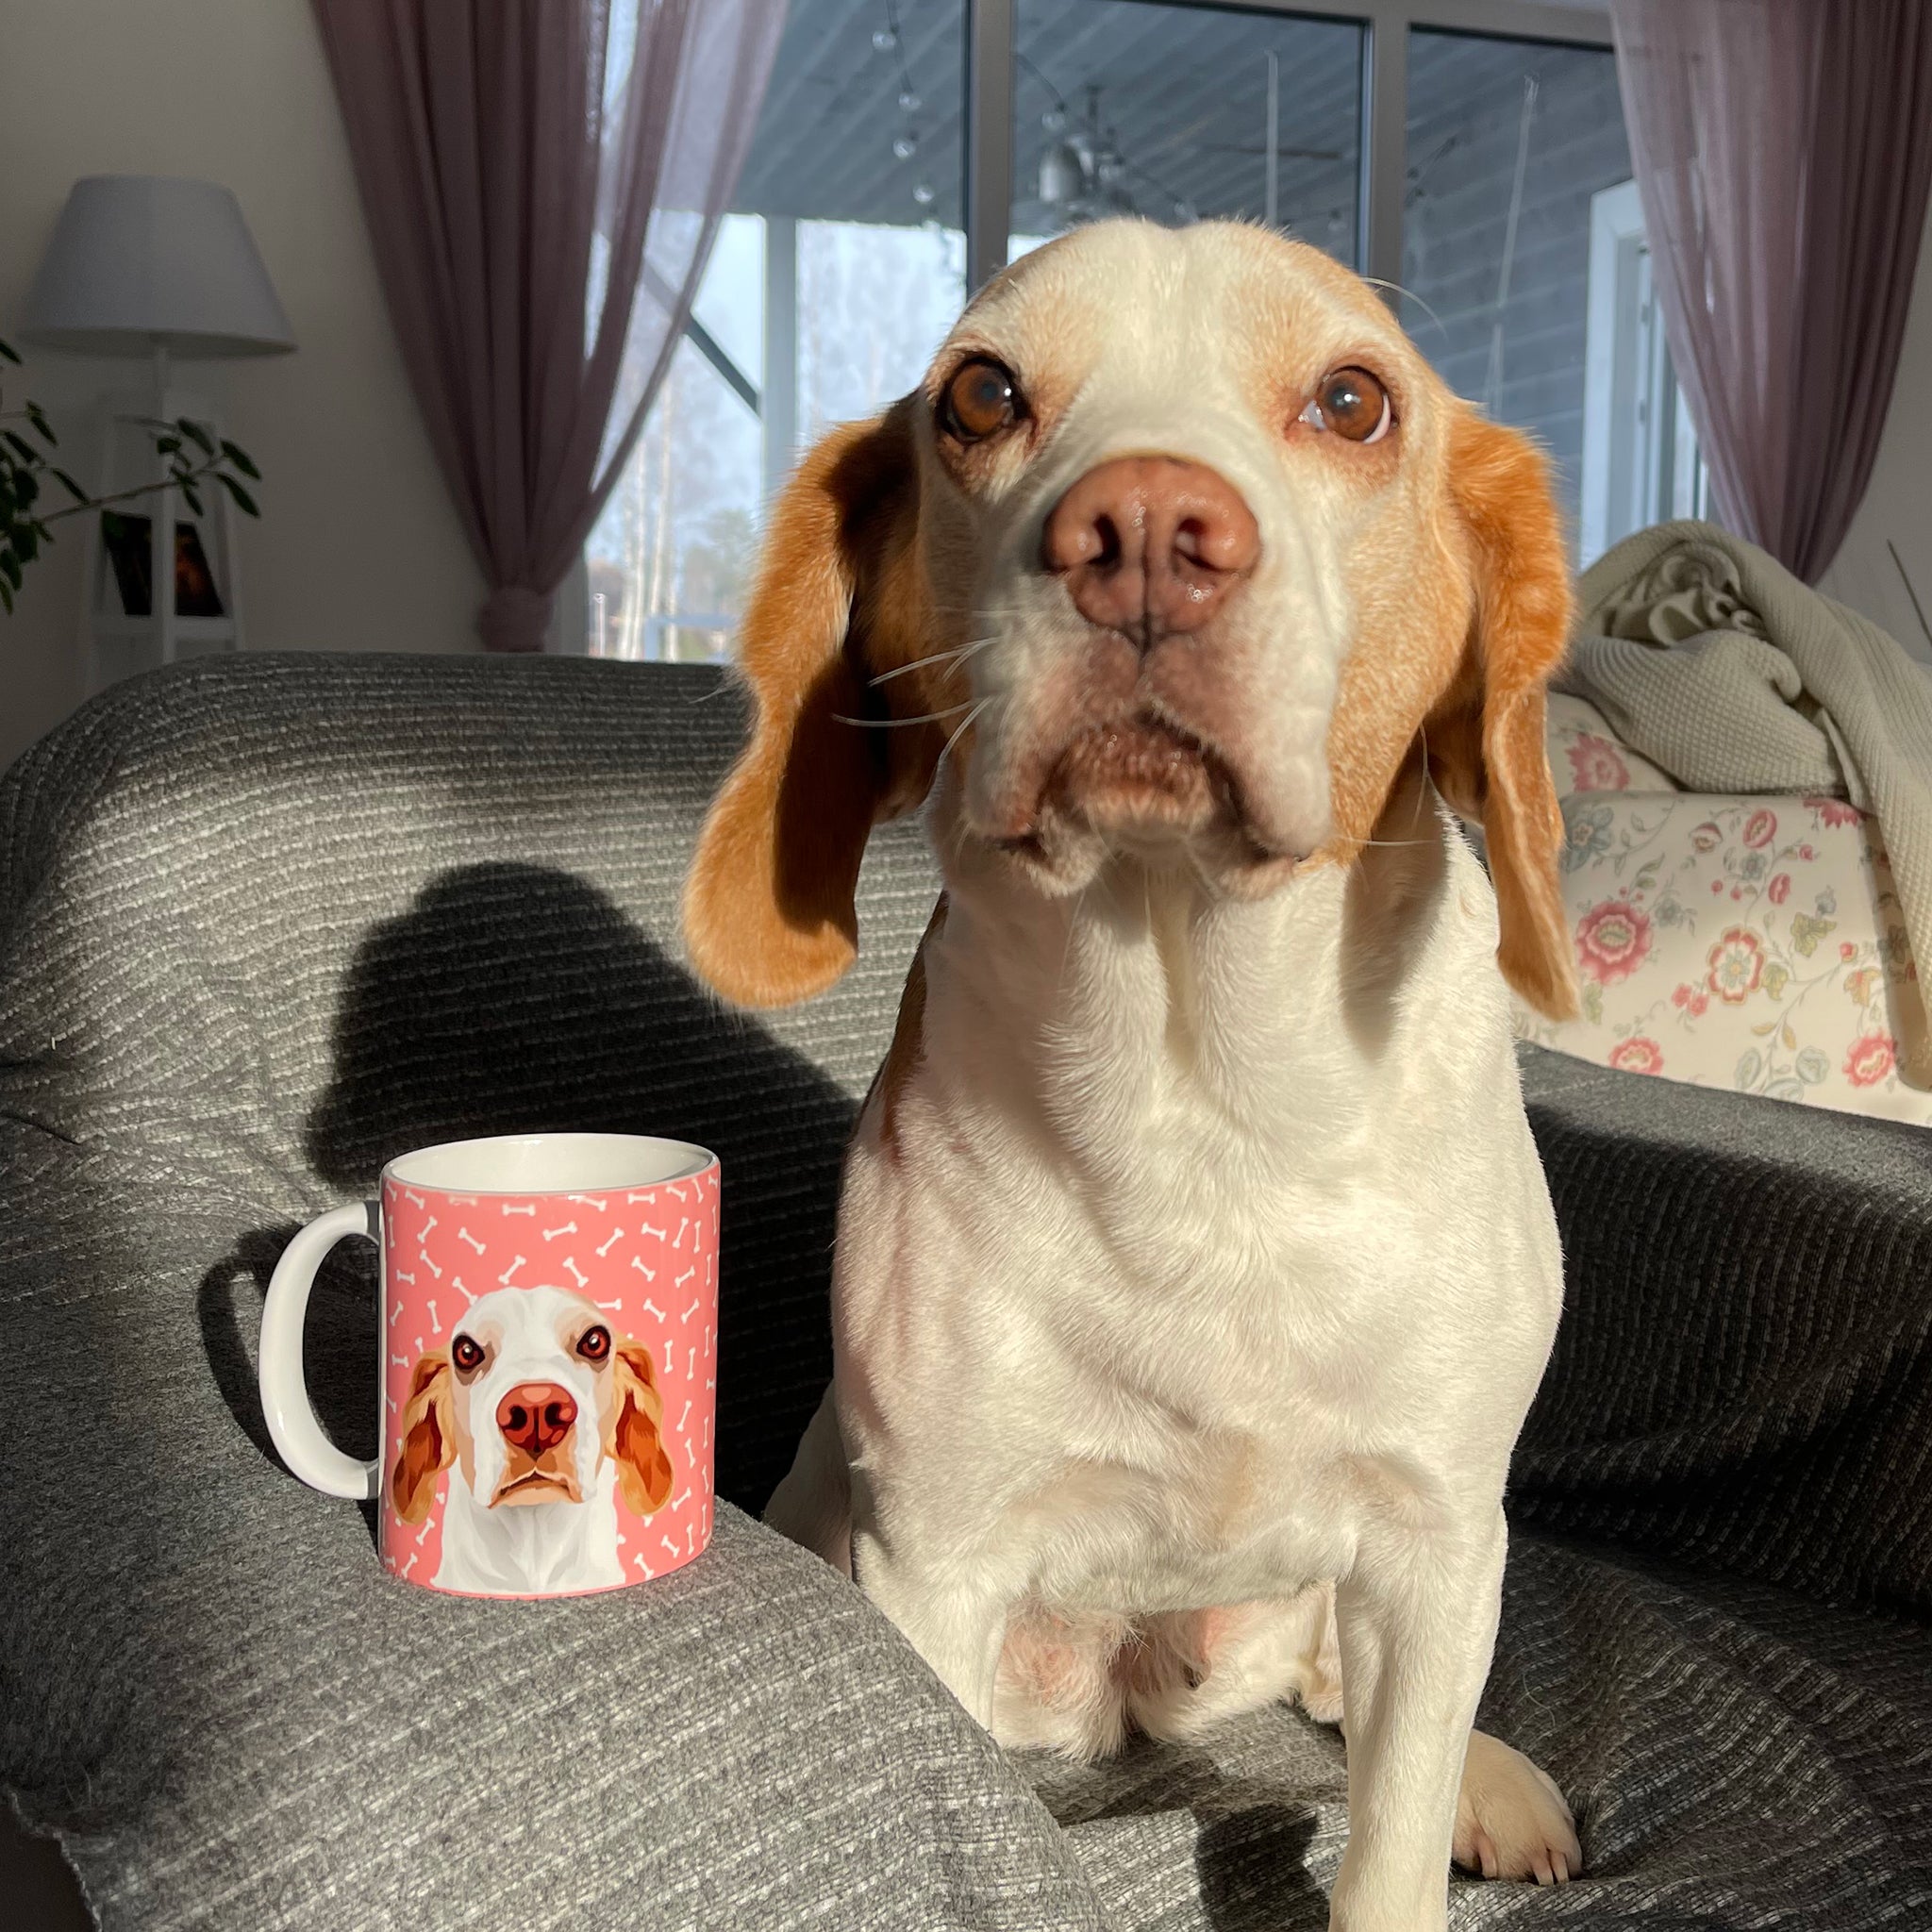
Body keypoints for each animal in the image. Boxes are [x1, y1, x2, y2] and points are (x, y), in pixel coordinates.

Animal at [688, 219, 1576, 1924]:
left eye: (1353, 400)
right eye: (979, 393)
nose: (1148, 529)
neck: (1201, 1095)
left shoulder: (1436, 1542)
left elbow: (1386, 1832)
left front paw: (1437, 1807)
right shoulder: (936, 1562)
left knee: (1345, 1693)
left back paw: (1489, 1783)